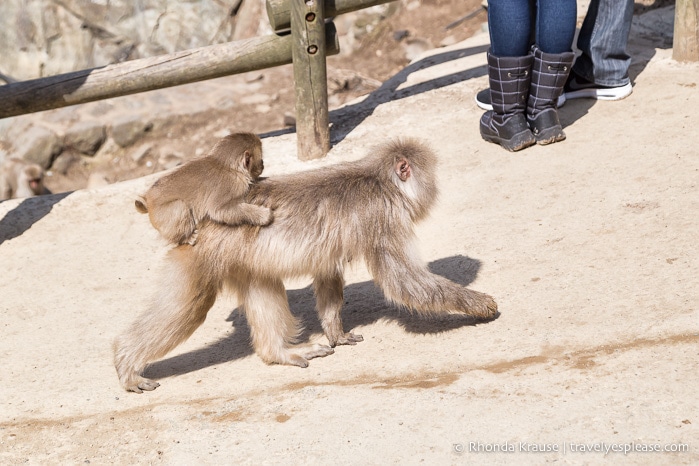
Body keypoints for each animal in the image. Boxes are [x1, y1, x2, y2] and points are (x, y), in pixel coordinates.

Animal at [135, 132, 272, 244]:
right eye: (260, 159)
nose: (263, 164)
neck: (227, 166)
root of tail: (148, 201)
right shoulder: (231, 185)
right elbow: (219, 210)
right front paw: (262, 215)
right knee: (179, 206)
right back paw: (186, 237)